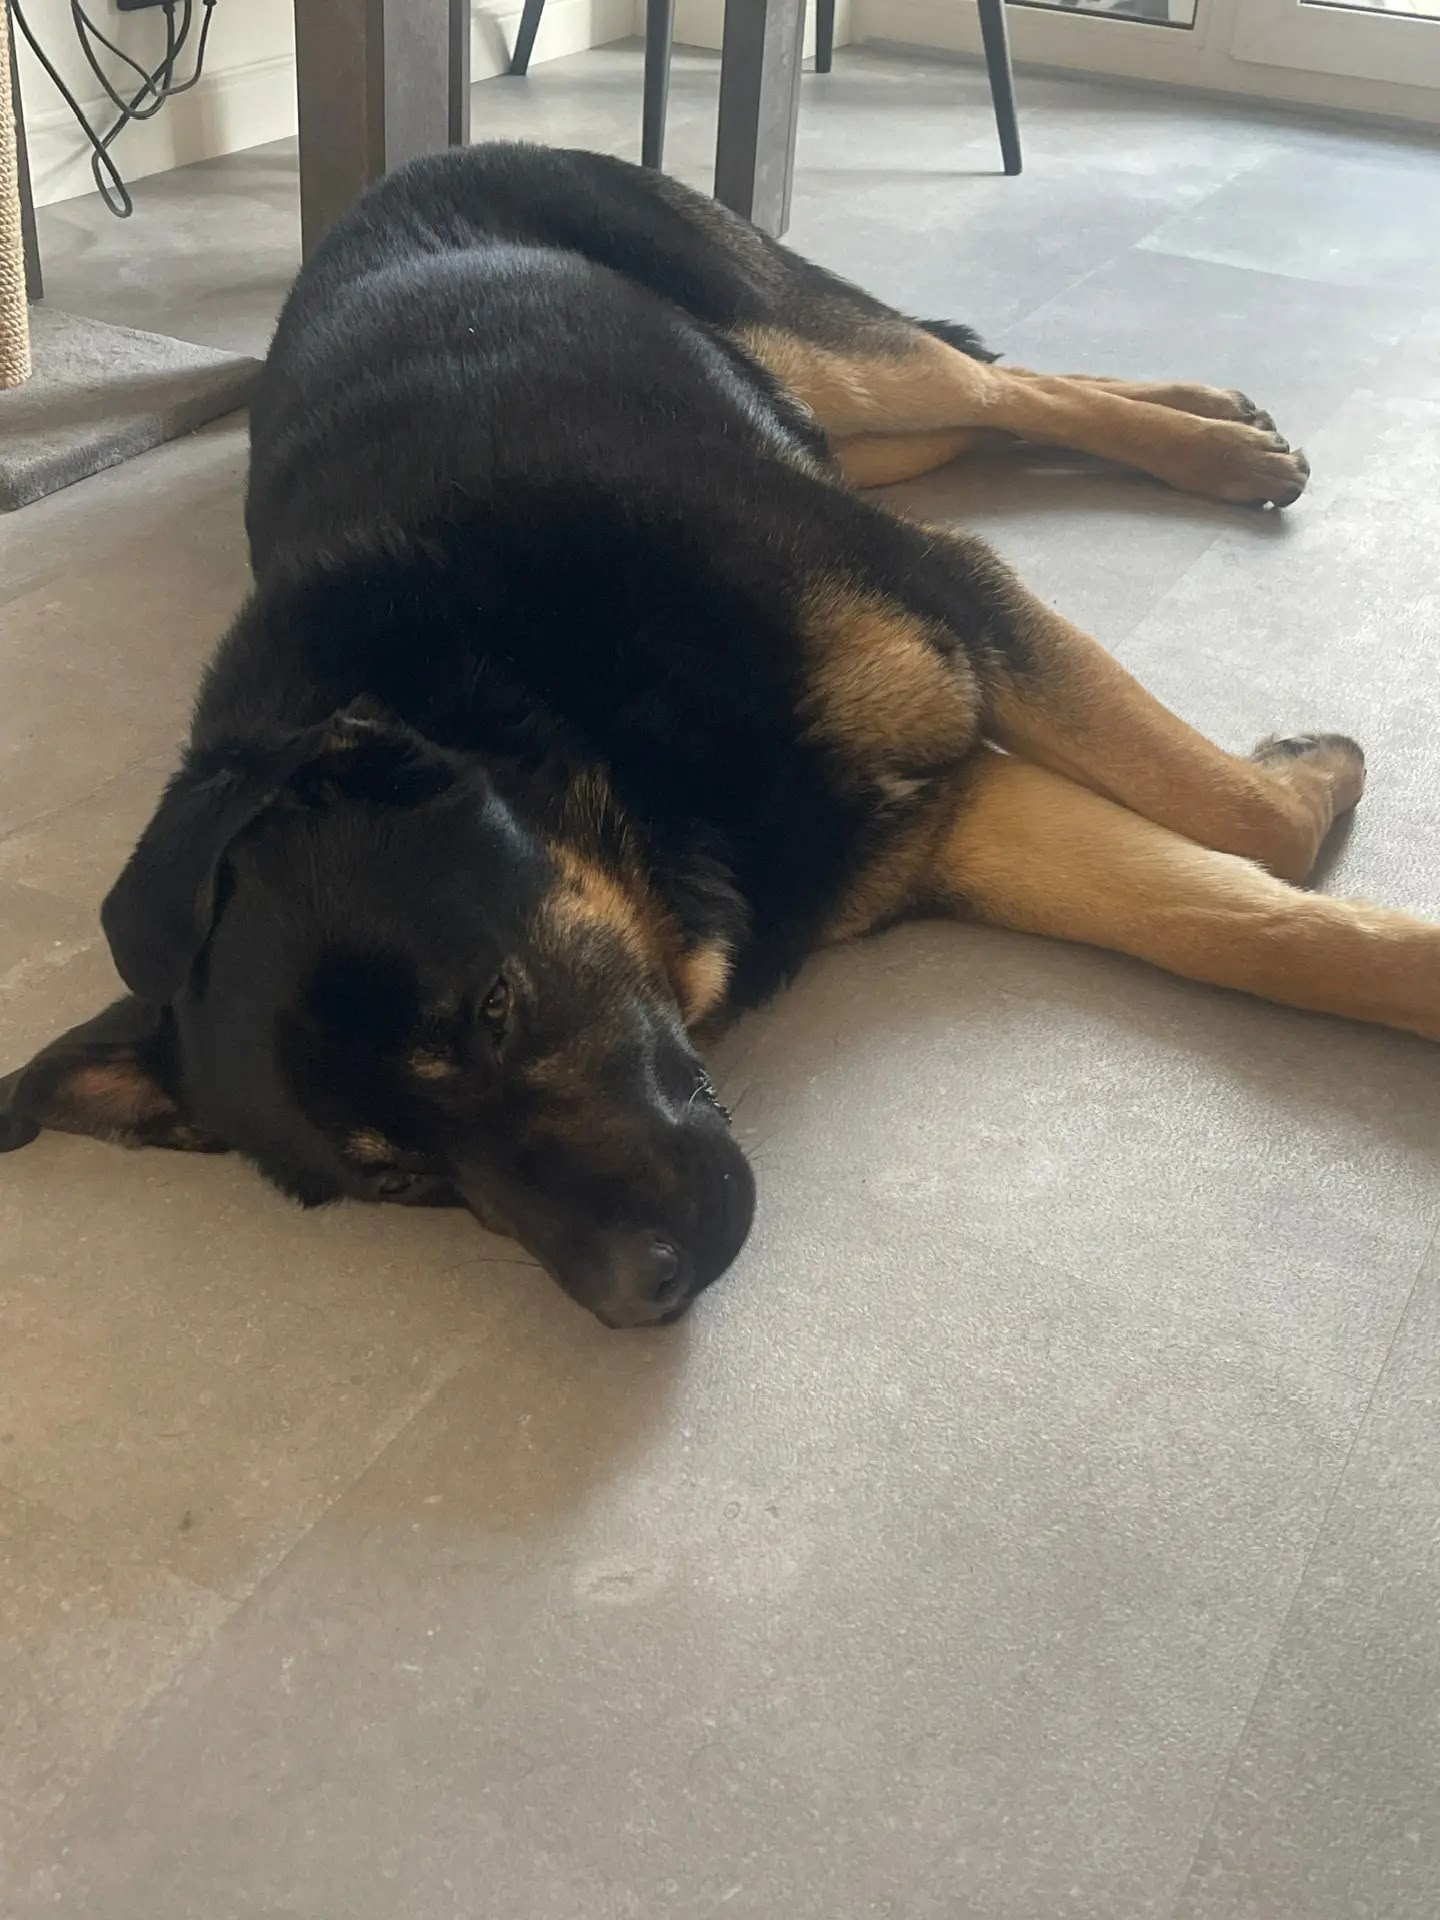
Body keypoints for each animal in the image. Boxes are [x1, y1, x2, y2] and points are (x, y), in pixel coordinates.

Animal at [1, 144, 1426, 1328]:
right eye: (402, 1182)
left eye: (497, 1007)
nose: (637, 1299)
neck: (560, 718)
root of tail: (403, 167)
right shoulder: (951, 822)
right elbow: (1255, 925)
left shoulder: (957, 605)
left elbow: (1247, 827)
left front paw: (1301, 782)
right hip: (848, 422)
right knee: (991, 402)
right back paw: (1214, 421)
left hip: (820, 348)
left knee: (983, 376)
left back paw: (1215, 443)